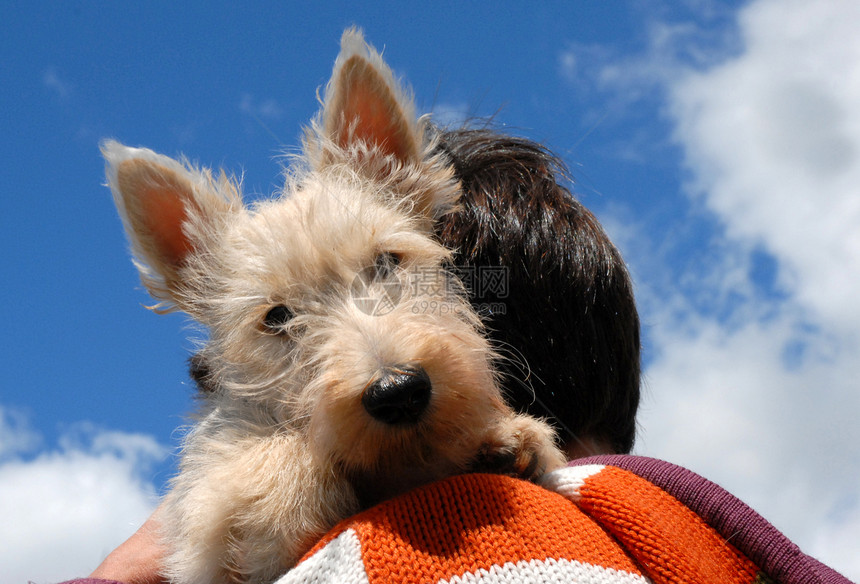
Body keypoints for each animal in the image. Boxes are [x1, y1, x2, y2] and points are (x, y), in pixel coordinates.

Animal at [104, 28, 568, 584]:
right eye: (276, 317)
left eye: (387, 262)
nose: (398, 391)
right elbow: (248, 481)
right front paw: (283, 498)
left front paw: (511, 438)